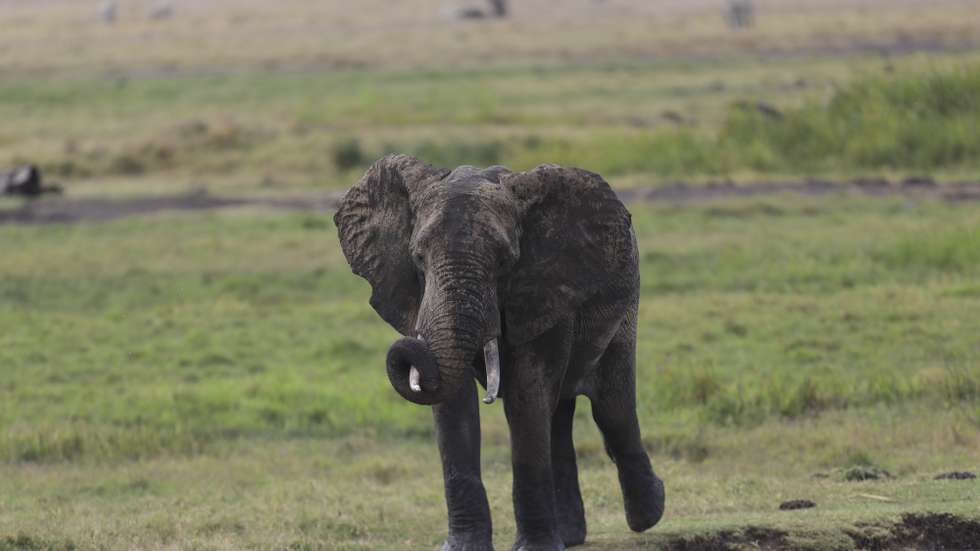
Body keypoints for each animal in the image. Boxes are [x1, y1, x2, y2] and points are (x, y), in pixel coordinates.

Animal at [334, 154, 664, 550]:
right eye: (418, 258)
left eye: (506, 262)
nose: (407, 347)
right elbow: (453, 405)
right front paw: (462, 547)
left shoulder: (544, 289)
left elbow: (526, 393)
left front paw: (534, 549)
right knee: (559, 416)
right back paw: (570, 536)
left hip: (626, 304)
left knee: (611, 407)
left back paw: (648, 515)